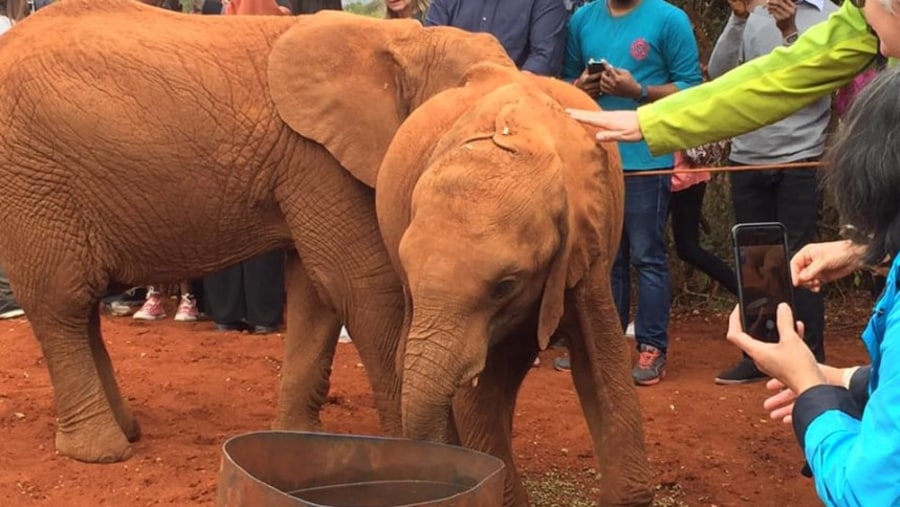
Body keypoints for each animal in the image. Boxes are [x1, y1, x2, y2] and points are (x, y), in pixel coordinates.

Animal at [0, 0, 510, 464]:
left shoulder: (314, 160)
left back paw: (125, 430)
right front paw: (420, 452)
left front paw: (298, 441)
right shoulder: (317, 157)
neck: (404, 42)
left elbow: (318, 293)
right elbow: (360, 287)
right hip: (32, 178)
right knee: (62, 301)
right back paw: (102, 452)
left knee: (80, 304)